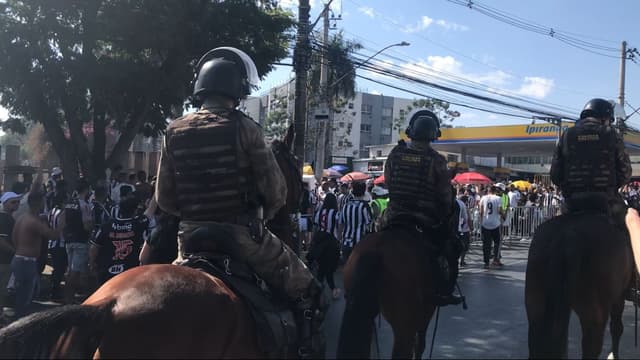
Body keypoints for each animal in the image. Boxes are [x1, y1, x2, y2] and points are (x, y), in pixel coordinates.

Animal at [524, 212, 636, 358]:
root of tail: (568, 236)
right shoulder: (619, 297)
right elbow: (617, 328)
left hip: (536, 310)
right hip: (595, 318)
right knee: (592, 348)